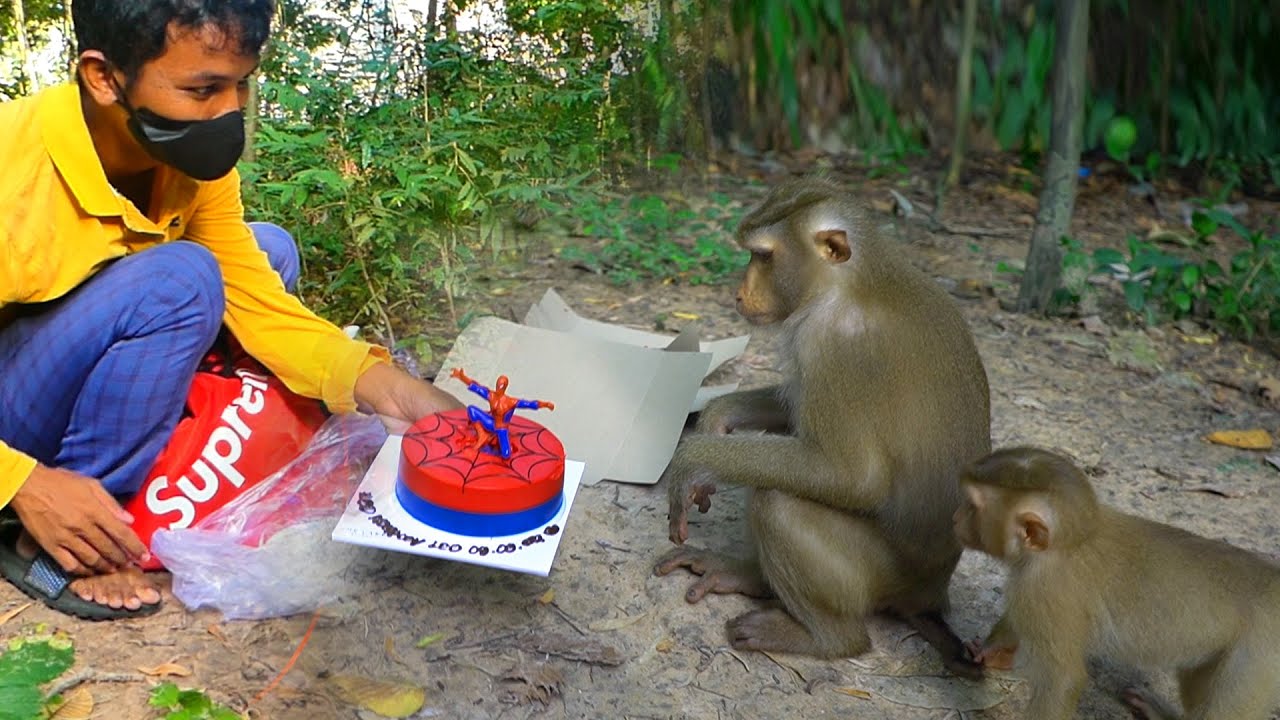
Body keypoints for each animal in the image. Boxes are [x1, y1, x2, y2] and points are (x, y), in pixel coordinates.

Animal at [653, 178, 992, 679]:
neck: (851, 284)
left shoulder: (836, 344)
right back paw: (749, 575)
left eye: (763, 256)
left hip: (883, 575)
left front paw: (695, 459)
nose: (738, 295)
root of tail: (930, 595)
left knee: (777, 502)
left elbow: (853, 477)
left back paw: (827, 638)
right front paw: (718, 416)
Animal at [955, 447, 1280, 720]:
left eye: (972, 506)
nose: (955, 519)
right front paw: (992, 648)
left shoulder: (1042, 591)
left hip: (1261, 655)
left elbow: (1062, 680)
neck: (1070, 541)